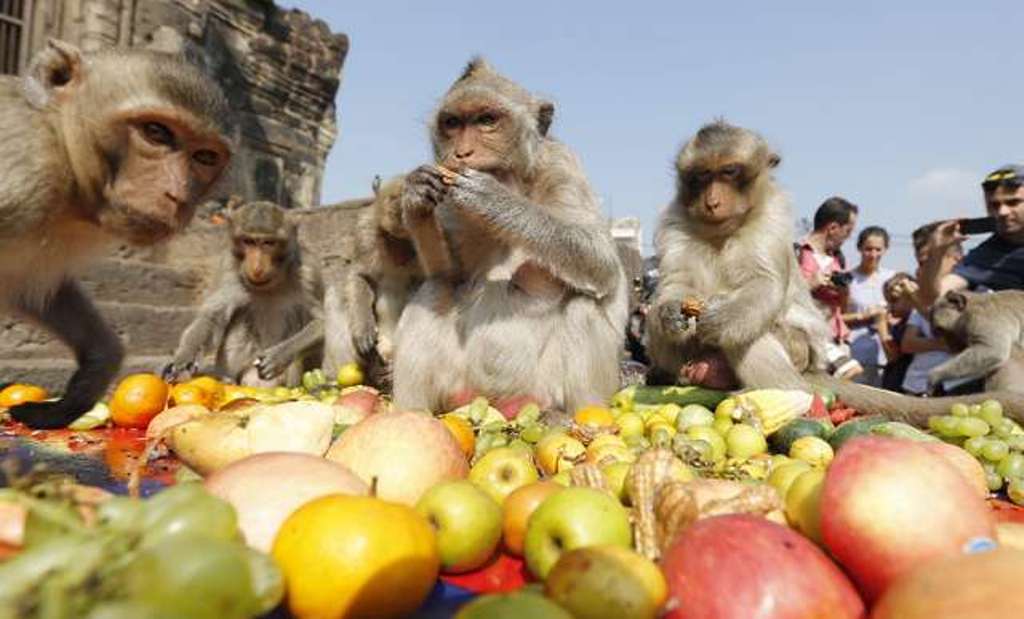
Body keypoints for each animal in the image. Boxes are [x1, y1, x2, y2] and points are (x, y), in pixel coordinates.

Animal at [0, 37, 234, 426]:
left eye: (204, 157)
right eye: (156, 132)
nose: (177, 196)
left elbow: (31, 288)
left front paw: (93, 371)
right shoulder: (23, 178)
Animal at [161, 199, 321, 387]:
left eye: (268, 243)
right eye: (248, 241)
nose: (257, 266)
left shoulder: (309, 272)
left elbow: (321, 323)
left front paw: (279, 356)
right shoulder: (228, 266)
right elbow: (213, 317)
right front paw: (183, 358)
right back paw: (227, 379)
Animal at [391, 57, 626, 418]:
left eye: (487, 120)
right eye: (452, 123)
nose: (462, 153)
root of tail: (497, 402)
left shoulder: (562, 164)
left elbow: (599, 262)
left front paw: (494, 199)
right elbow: (449, 274)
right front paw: (416, 196)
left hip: (543, 387)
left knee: (584, 303)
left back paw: (571, 416)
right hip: (457, 388)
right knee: (434, 288)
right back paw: (411, 414)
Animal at [647, 120, 1024, 426]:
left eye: (727, 172)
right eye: (701, 176)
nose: (711, 201)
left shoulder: (773, 217)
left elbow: (764, 285)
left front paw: (721, 318)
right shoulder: (675, 220)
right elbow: (674, 284)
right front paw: (671, 314)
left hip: (801, 354)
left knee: (750, 334)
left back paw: (782, 394)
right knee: (659, 330)